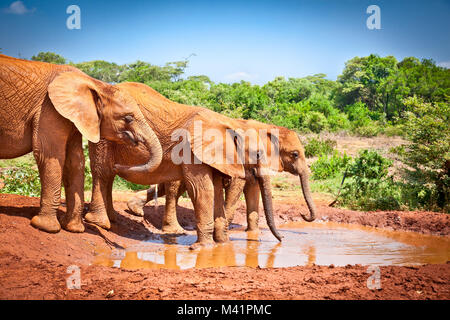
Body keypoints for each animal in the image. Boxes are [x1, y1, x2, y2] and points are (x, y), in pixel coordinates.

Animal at [0, 55, 162, 234]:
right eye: (128, 118)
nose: (117, 165)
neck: (95, 84)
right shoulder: (48, 108)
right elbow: (49, 154)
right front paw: (45, 227)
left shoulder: (73, 115)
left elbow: (75, 161)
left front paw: (73, 229)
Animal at [84, 81, 282, 246]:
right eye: (257, 154)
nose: (281, 239)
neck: (228, 123)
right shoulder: (191, 151)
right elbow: (202, 190)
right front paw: (203, 248)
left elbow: (216, 191)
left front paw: (223, 244)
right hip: (103, 133)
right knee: (103, 172)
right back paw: (100, 222)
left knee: (108, 175)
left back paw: (113, 218)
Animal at [126, 120, 316, 232]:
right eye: (295, 154)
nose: (304, 215)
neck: (269, 127)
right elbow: (236, 189)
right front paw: (226, 226)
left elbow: (252, 190)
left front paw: (252, 234)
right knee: (174, 189)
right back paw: (174, 230)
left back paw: (134, 208)